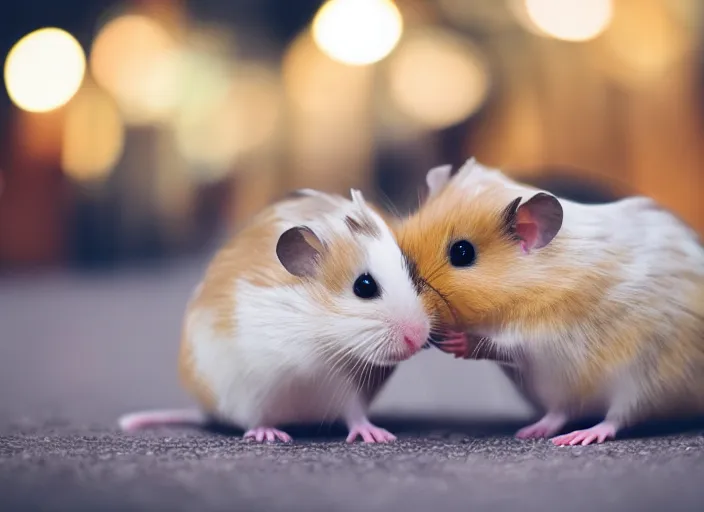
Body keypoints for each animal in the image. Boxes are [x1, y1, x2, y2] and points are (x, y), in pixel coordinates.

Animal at [118, 188, 432, 444]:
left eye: (413, 274)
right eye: (364, 286)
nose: (417, 339)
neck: (319, 337)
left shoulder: (346, 386)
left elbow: (355, 415)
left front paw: (378, 436)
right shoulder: (252, 378)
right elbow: (256, 414)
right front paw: (267, 435)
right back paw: (270, 433)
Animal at [396, 158, 704, 446]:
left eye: (462, 253)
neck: (538, 279)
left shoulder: (540, 332)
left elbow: (499, 345)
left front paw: (455, 342)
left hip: (645, 379)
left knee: (617, 418)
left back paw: (579, 437)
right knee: (562, 412)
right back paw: (533, 431)